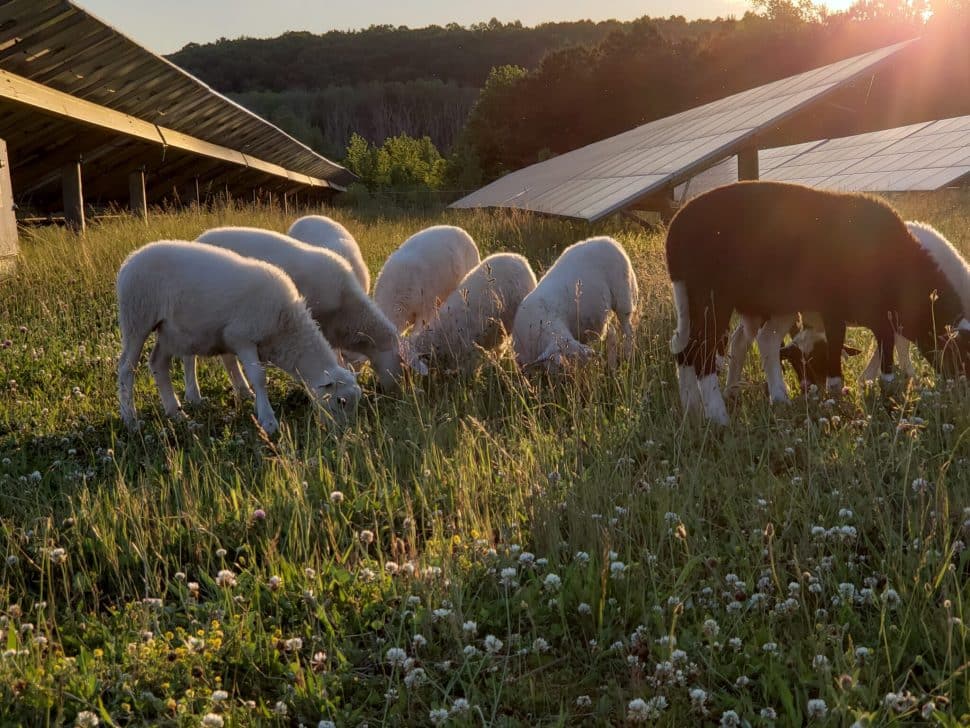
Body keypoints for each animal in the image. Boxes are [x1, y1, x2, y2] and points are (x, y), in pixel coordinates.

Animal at [116, 240, 360, 432]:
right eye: (341, 401)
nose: (343, 433)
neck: (286, 328)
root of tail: (129, 260)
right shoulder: (242, 337)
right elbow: (259, 377)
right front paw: (268, 421)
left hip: (169, 331)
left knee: (158, 363)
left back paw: (176, 413)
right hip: (137, 317)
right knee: (127, 368)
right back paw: (131, 419)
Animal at [664, 180, 968, 426]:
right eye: (963, 354)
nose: (960, 391)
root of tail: (676, 228)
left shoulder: (878, 315)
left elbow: (885, 348)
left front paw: (885, 388)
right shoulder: (834, 308)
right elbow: (839, 353)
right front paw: (841, 397)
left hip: (696, 298)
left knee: (688, 347)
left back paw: (695, 409)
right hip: (712, 296)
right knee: (704, 352)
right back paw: (719, 417)